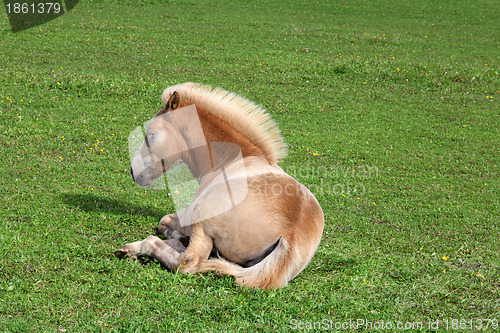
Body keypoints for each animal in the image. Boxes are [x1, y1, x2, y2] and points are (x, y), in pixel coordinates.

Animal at [117, 82, 326, 288]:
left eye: (150, 133)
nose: (133, 171)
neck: (231, 160)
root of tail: (292, 233)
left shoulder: (187, 215)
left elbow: (163, 221)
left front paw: (176, 235)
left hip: (201, 222)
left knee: (186, 261)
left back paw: (134, 248)